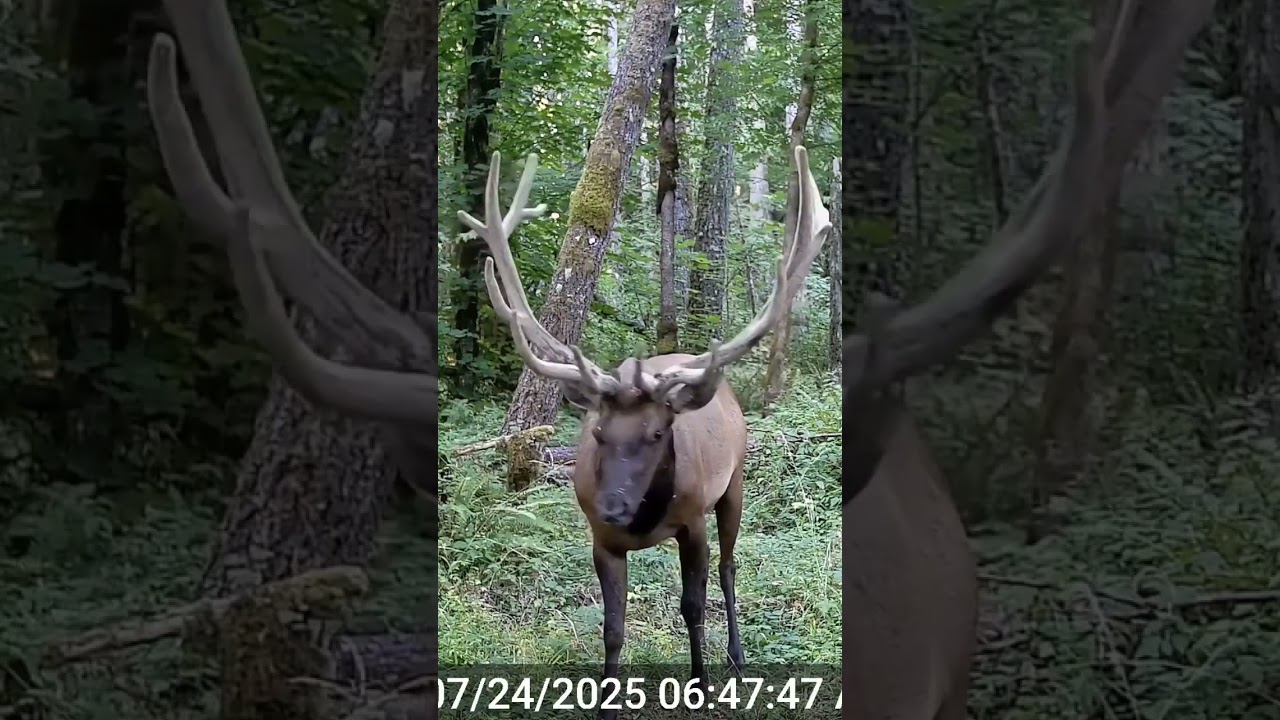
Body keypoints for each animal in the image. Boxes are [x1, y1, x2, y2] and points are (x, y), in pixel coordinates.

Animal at [456, 146, 832, 713]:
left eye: (657, 434)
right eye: (598, 434)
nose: (613, 506)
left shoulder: (693, 520)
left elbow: (693, 606)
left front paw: (700, 684)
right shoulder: (602, 540)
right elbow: (612, 627)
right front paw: (607, 698)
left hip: (736, 481)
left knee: (730, 566)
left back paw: (737, 655)